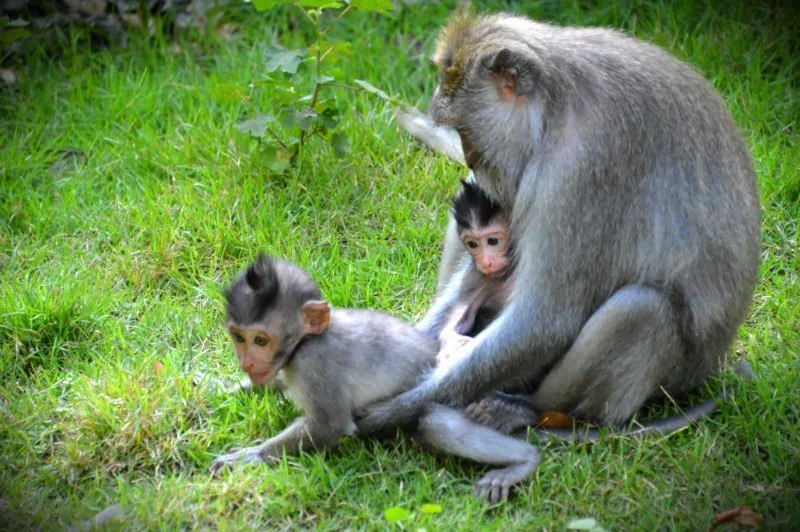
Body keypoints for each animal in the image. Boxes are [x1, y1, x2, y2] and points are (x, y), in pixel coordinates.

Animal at [209, 254, 540, 502]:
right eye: (238, 337)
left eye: (261, 340)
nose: (247, 361)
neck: (306, 341)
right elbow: (271, 382)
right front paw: (218, 388)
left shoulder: (314, 363)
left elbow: (330, 424)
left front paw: (254, 455)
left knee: (437, 424)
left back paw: (525, 460)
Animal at [358, 14, 764, 434]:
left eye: (465, 129)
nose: (471, 159)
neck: (554, 106)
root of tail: (711, 367)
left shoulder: (579, 170)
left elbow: (545, 323)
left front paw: (388, 411)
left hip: (673, 377)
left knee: (641, 308)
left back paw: (535, 410)